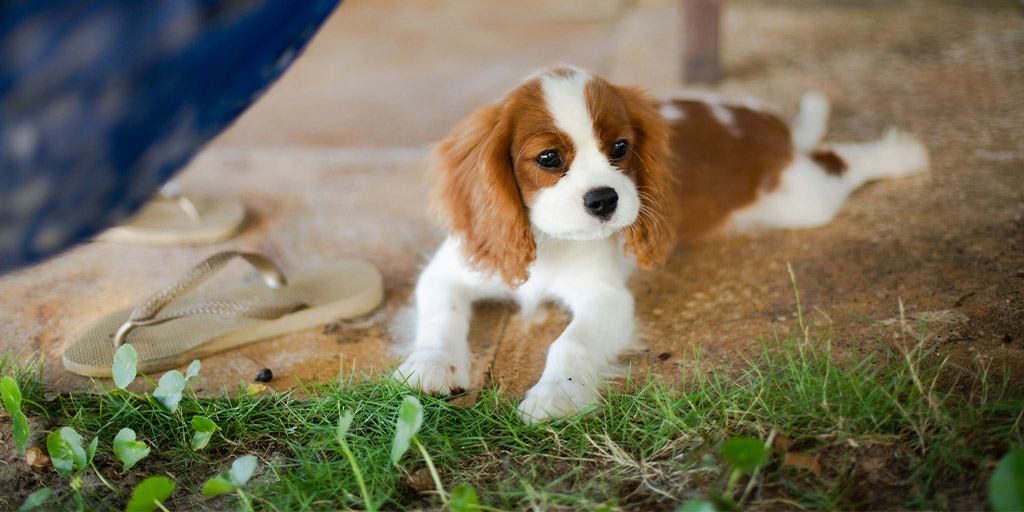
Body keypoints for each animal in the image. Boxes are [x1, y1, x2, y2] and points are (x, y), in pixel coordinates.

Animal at [391, 66, 929, 421]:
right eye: (548, 158)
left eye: (620, 149)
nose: (605, 199)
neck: (550, 240)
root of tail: (763, 126)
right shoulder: (450, 270)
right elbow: (440, 317)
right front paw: (429, 367)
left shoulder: (607, 299)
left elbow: (571, 343)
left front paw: (557, 395)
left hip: (802, 199)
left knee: (838, 161)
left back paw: (901, 154)